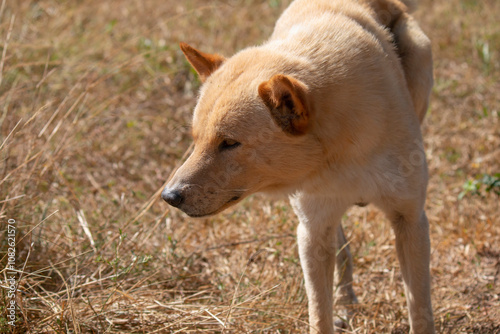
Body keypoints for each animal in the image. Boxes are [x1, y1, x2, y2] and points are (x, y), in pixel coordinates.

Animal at [161, 1, 434, 332]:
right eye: (196, 140)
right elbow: (319, 313)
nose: (169, 197)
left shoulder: (410, 220)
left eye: (229, 143)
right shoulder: (312, 231)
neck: (340, 148)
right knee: (341, 248)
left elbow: (420, 310)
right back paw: (346, 303)